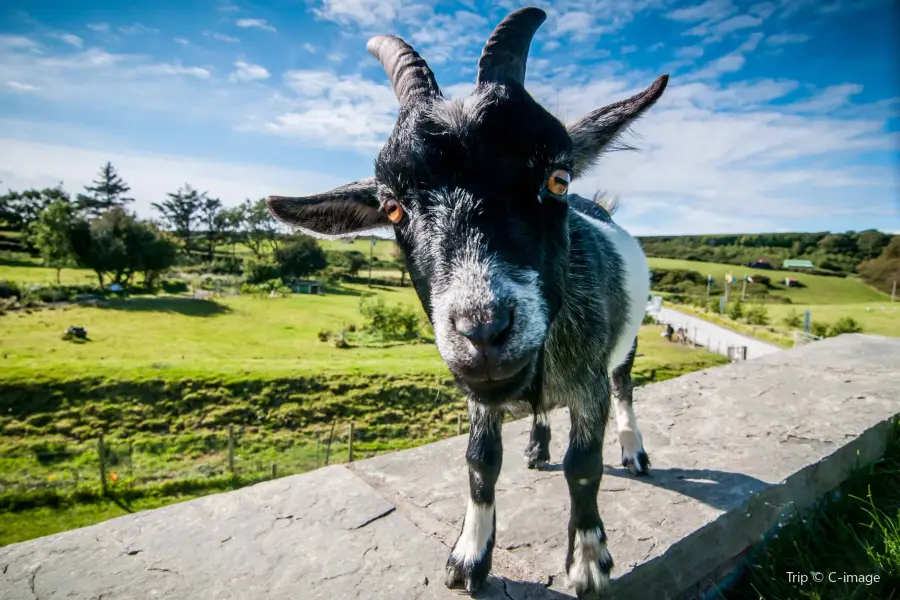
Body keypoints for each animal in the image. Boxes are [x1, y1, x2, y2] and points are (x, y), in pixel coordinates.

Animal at [268, 7, 668, 596]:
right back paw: (537, 446)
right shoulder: (479, 395)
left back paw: (633, 449)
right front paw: (469, 557)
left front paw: (590, 561)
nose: (482, 330)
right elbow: (481, 462)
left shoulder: (588, 379)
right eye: (392, 207)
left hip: (627, 344)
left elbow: (584, 466)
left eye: (557, 178)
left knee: (625, 389)